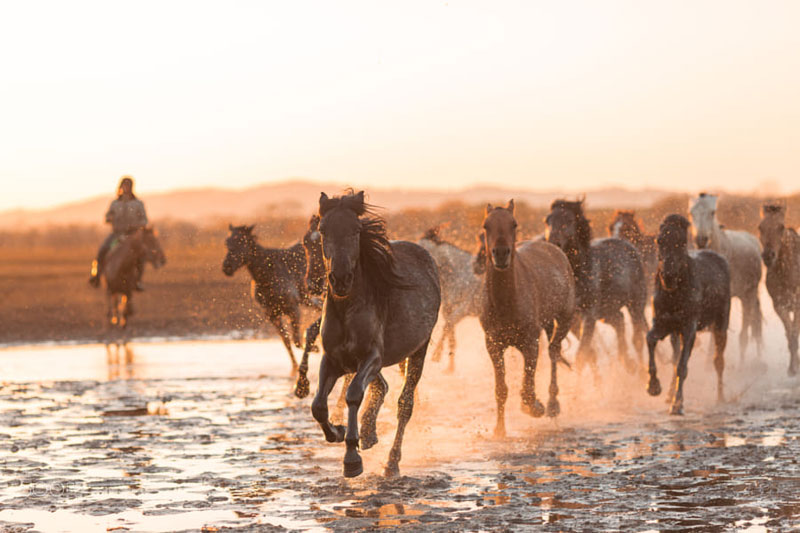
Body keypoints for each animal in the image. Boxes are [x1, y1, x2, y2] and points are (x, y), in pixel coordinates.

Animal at [310, 189, 440, 476]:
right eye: (323, 230)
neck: (347, 306)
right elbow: (319, 406)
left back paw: (391, 462)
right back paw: (369, 433)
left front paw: (351, 458)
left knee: (405, 404)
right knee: (382, 386)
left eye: (356, 230)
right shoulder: (333, 359)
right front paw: (338, 432)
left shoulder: (372, 357)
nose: (340, 279)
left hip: (419, 350)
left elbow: (353, 394)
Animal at [476, 200, 576, 436]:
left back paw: (552, 404)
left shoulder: (530, 342)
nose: (500, 253)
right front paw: (499, 430)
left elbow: (528, 386)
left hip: (565, 319)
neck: (506, 302)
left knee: (554, 352)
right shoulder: (493, 345)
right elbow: (501, 389)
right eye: (486, 225)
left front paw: (535, 407)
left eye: (514, 224)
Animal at [544, 198, 648, 370]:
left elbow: (582, 355)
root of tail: (627, 244)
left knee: (638, 339)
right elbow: (588, 353)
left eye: (569, 220)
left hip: (636, 304)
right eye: (547, 220)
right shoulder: (573, 320)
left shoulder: (589, 315)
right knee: (620, 322)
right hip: (608, 311)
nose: (553, 244)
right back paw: (627, 362)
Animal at [644, 214, 732, 414]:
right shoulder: (664, 324)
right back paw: (669, 393)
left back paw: (721, 398)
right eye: (659, 240)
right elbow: (651, 339)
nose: (668, 276)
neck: (674, 293)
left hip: (721, 323)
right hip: (675, 333)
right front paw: (654, 387)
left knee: (719, 360)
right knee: (676, 354)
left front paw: (677, 405)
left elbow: (682, 365)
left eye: (682, 242)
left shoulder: (689, 327)